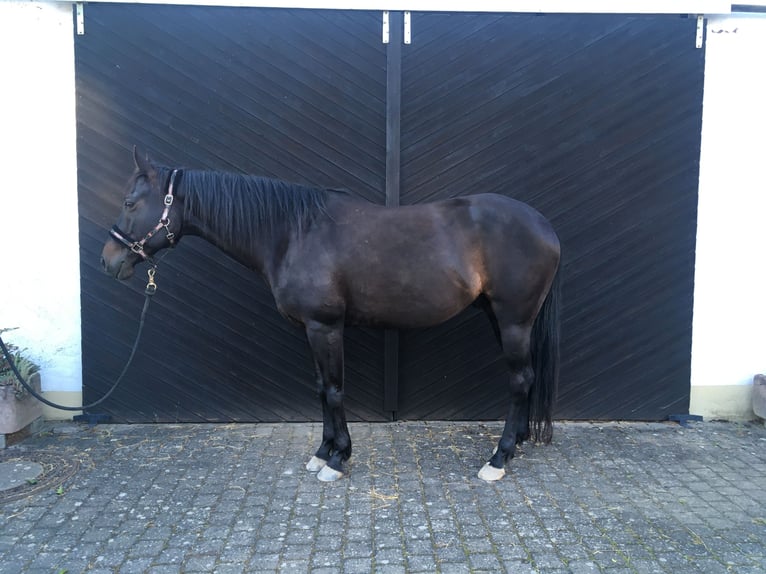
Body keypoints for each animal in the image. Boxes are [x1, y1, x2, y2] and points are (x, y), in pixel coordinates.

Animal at [101, 148, 561, 482]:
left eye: (129, 202)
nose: (109, 261)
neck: (293, 232)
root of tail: (544, 226)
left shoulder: (325, 327)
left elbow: (336, 391)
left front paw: (339, 460)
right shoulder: (311, 329)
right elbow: (322, 389)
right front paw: (323, 453)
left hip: (513, 320)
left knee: (520, 379)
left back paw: (498, 459)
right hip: (501, 318)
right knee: (526, 379)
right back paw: (517, 442)